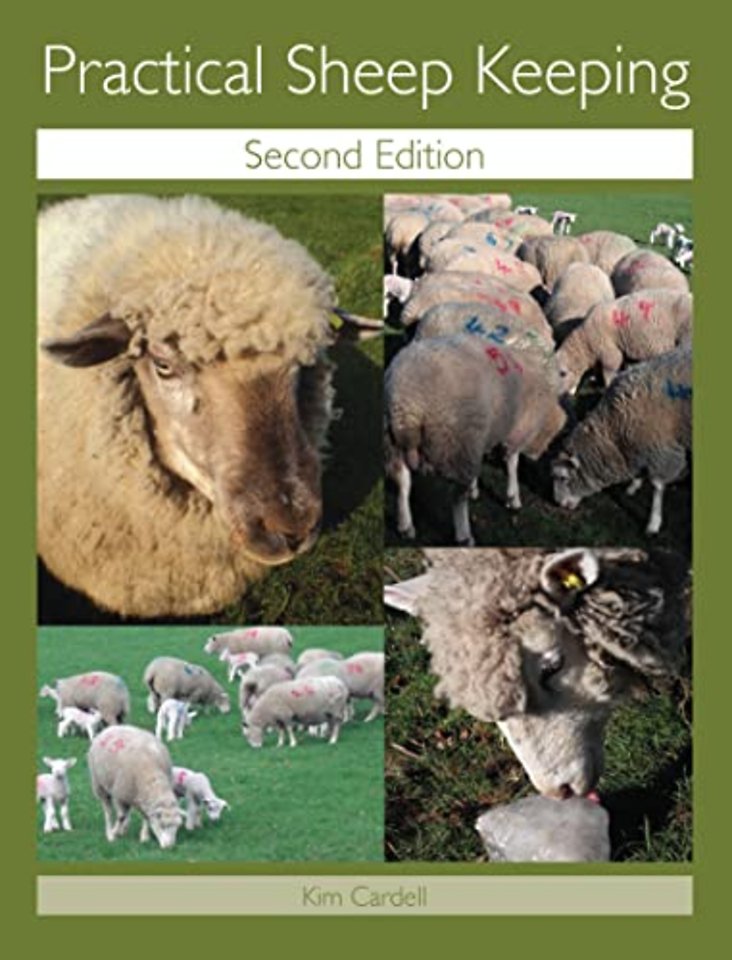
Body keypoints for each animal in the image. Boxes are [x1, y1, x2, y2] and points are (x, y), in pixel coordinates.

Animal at [384, 335, 567, 544]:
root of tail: (409, 402)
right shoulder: (517, 429)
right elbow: (513, 462)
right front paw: (513, 497)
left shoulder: (482, 434)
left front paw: (475, 488)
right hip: (457, 442)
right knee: (457, 497)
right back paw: (464, 535)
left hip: (393, 440)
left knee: (402, 481)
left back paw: (406, 525)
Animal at [552, 347, 691, 535]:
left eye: (563, 478)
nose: (558, 504)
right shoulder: (644, 445)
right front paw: (634, 485)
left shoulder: (663, 449)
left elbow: (657, 486)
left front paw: (653, 523)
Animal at [555, 290, 693, 394]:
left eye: (562, 373)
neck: (585, 341)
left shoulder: (610, 354)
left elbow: (610, 371)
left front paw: (608, 386)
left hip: (685, 335)